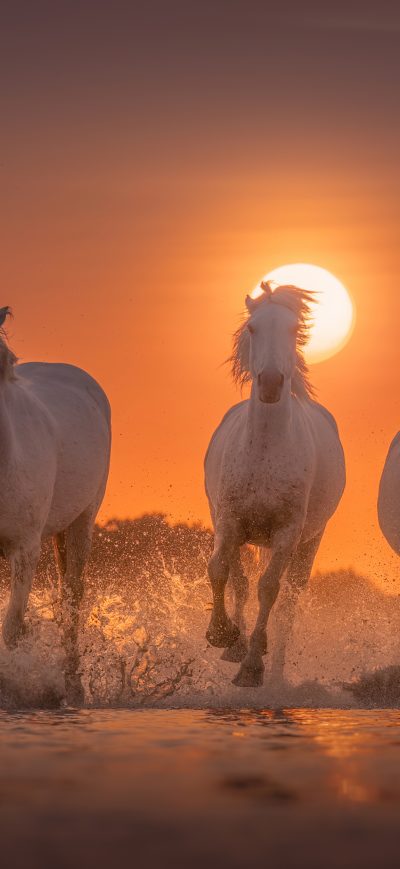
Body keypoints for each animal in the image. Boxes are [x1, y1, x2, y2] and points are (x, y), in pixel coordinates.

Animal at [204, 281, 345, 687]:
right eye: (253, 329)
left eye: (294, 330)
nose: (269, 383)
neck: (265, 448)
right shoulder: (229, 521)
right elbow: (221, 571)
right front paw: (222, 635)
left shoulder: (287, 532)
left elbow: (268, 589)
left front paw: (252, 668)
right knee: (238, 579)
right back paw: (236, 643)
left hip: (309, 542)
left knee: (287, 607)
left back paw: (275, 669)